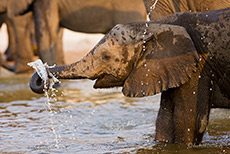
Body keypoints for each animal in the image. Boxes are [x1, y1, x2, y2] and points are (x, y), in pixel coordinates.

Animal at [29, 8, 229, 145]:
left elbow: (190, 121)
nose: (41, 77)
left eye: (106, 57)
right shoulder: (172, 69)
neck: (155, 26)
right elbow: (164, 121)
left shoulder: (199, 67)